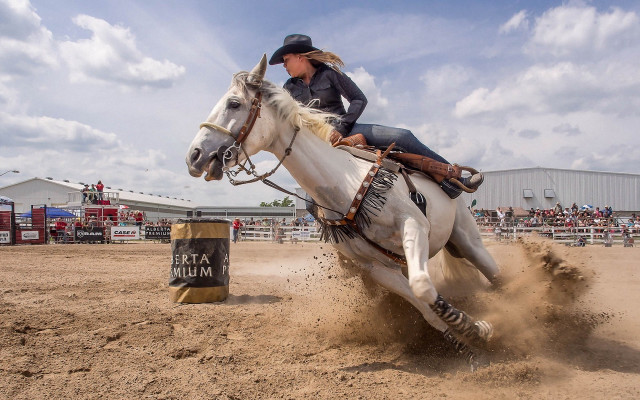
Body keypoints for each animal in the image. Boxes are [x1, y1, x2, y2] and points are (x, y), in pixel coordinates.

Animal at [185, 55, 501, 369]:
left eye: (234, 103)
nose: (194, 156)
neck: (346, 183)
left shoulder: (414, 225)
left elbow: (423, 285)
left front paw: (479, 328)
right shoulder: (377, 268)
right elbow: (425, 303)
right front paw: (468, 338)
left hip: (466, 237)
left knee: (493, 273)